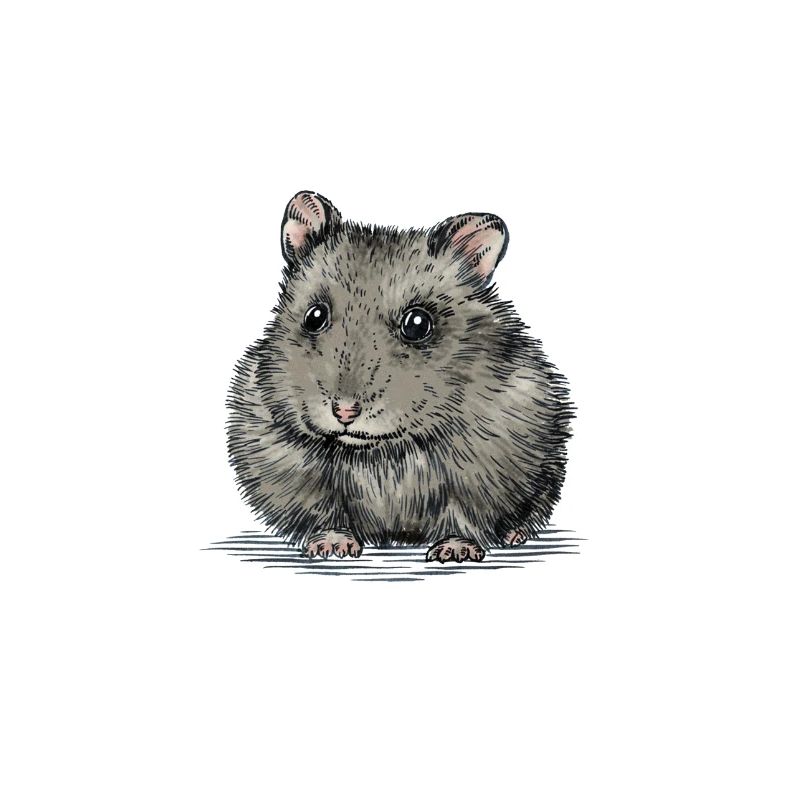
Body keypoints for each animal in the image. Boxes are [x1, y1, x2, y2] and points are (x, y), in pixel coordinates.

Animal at [227, 191, 573, 563]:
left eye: (418, 324)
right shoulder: (290, 466)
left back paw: (514, 535)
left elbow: (461, 514)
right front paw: (332, 547)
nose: (344, 412)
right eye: (314, 316)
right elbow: (326, 510)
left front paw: (455, 552)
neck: (381, 450)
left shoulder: (482, 469)